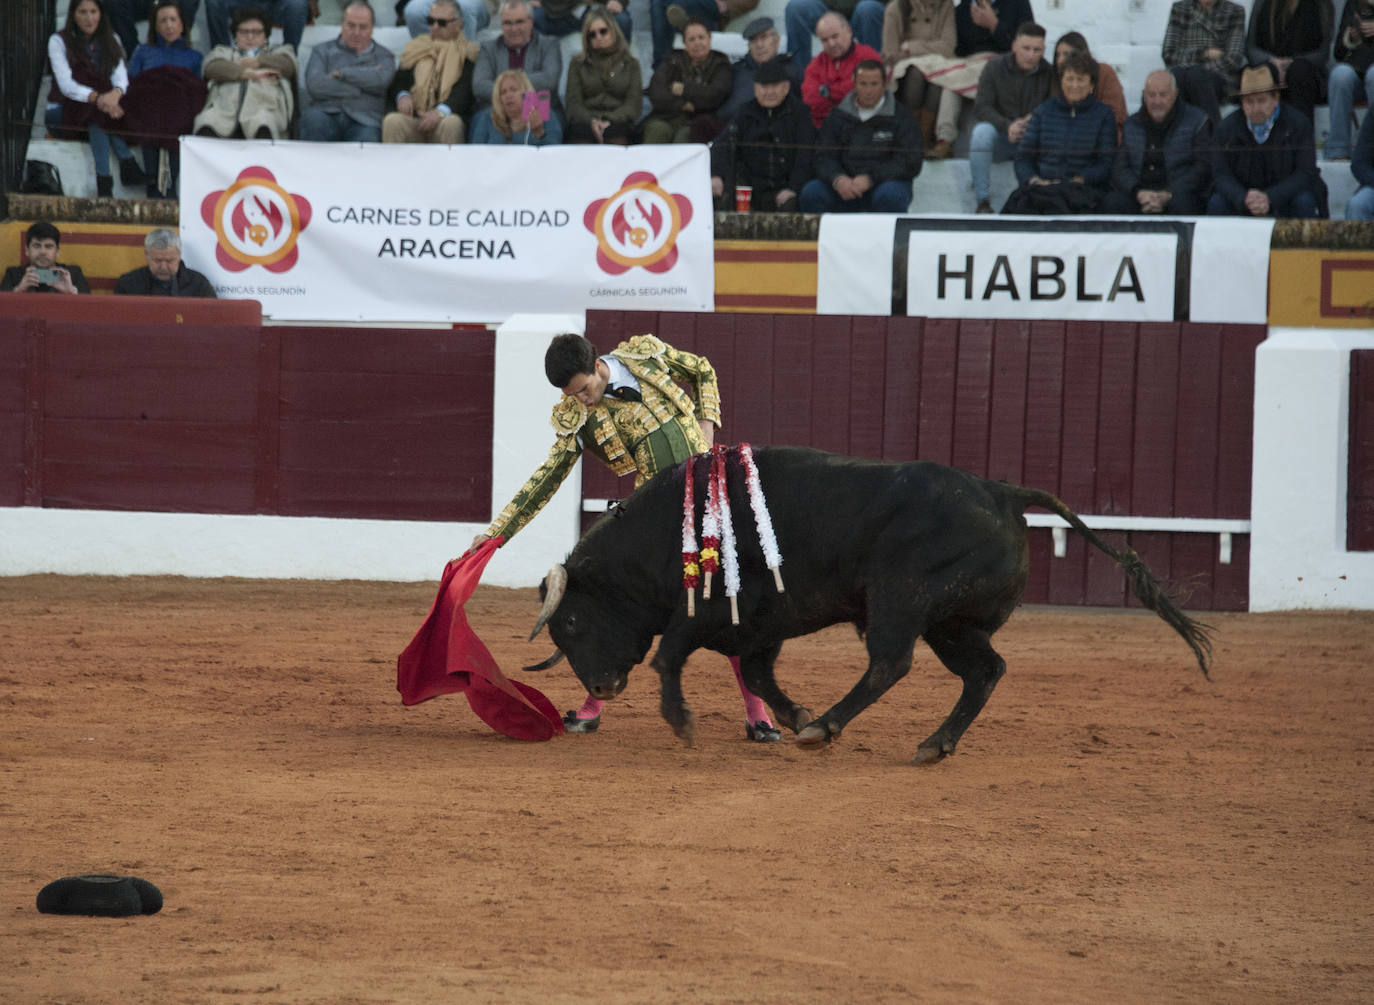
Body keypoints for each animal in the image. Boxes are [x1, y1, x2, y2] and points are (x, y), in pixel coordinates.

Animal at [524, 448, 1214, 764]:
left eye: (574, 620)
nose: (603, 687)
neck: (669, 532)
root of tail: (1000, 491)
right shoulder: (763, 627)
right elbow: (757, 674)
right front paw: (792, 713)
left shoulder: (712, 614)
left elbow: (670, 654)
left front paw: (683, 722)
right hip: (950, 624)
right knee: (985, 670)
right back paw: (930, 743)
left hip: (901, 601)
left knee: (891, 664)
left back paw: (827, 728)